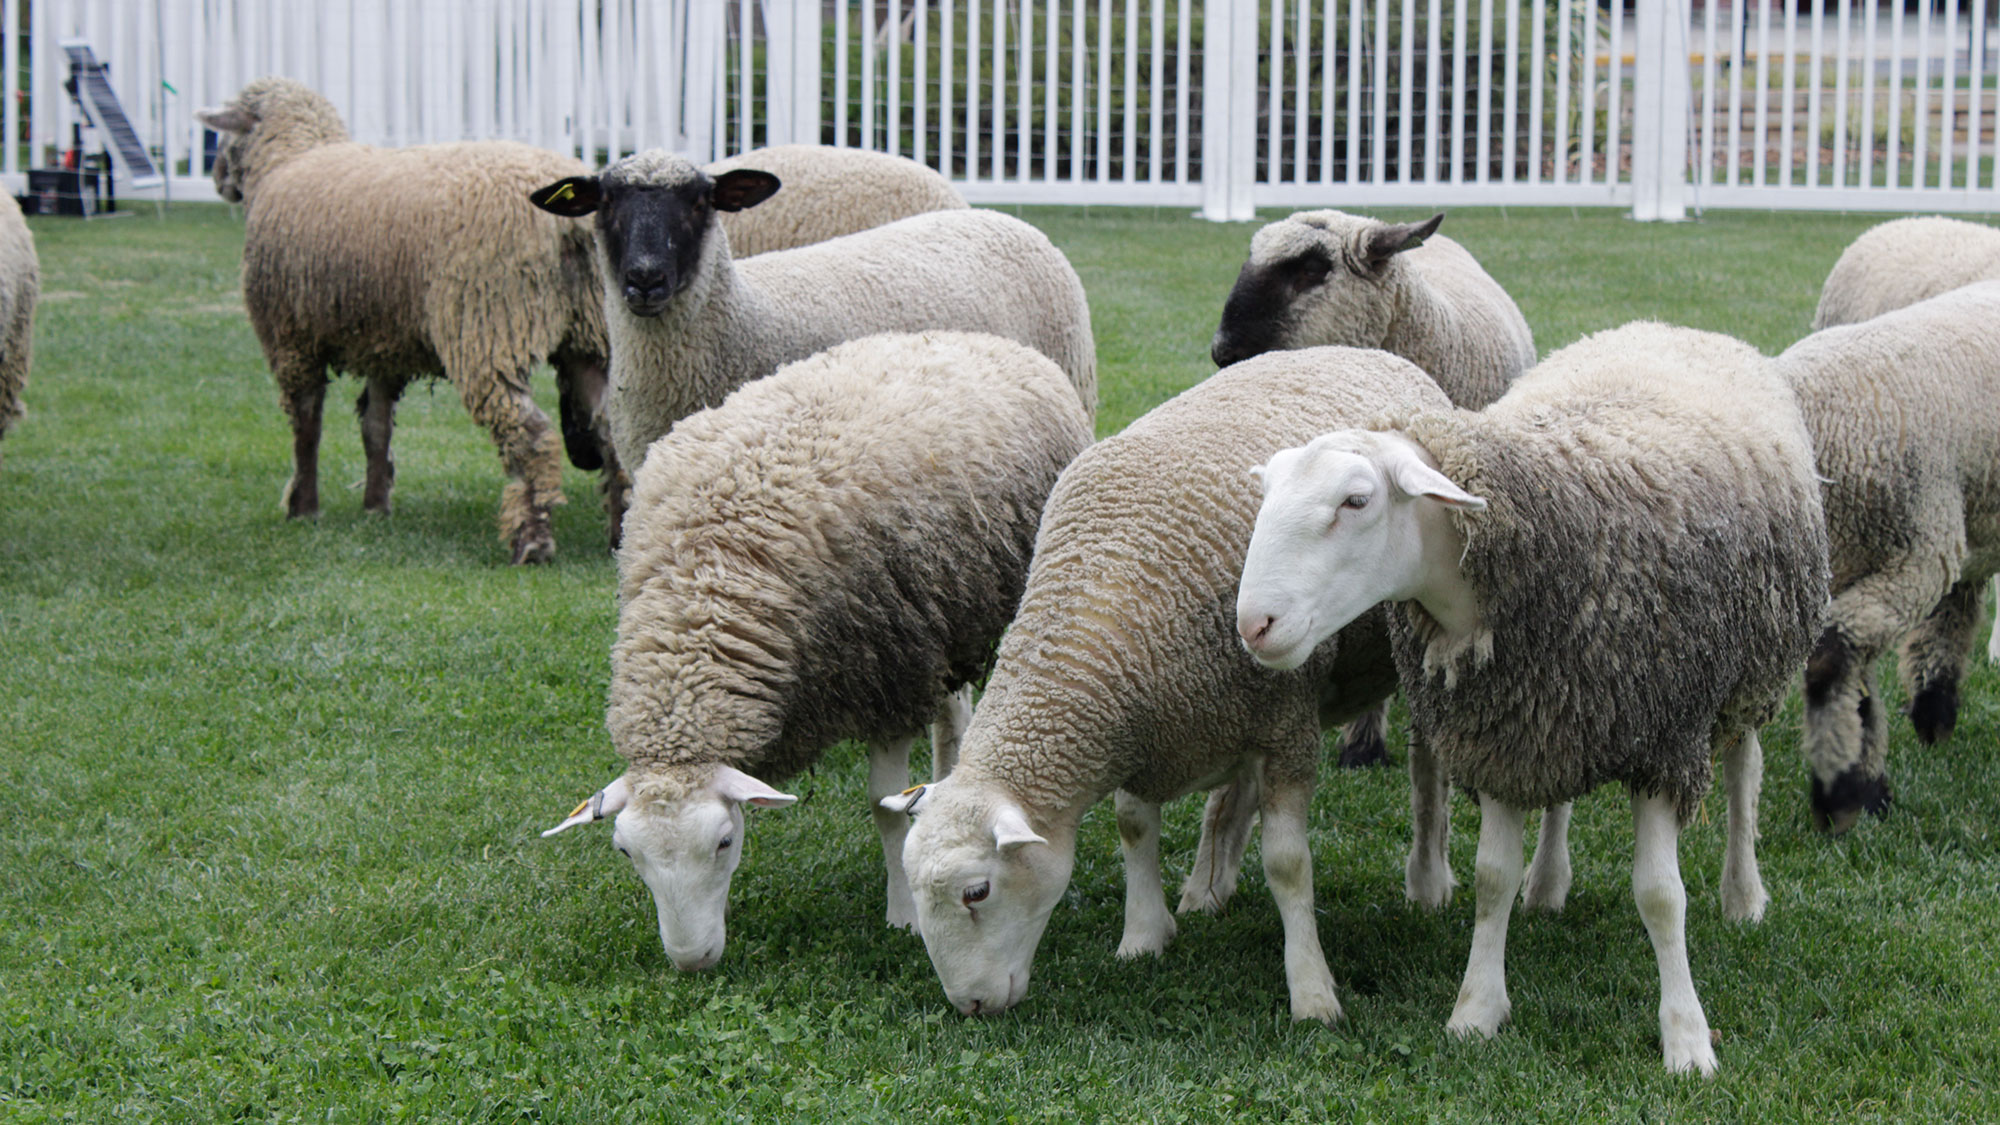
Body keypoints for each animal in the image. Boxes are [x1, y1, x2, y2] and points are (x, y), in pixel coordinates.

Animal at [196, 77, 614, 564]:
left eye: (227, 134)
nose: (218, 178)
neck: (288, 158)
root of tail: (572, 227)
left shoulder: (291, 338)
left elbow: (307, 426)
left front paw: (302, 507)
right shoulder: (384, 344)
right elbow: (376, 427)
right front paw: (376, 505)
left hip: (488, 326)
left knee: (531, 433)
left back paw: (532, 542)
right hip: (590, 332)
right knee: (610, 426)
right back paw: (619, 527)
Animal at [540, 331, 1094, 970]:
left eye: (724, 842)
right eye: (627, 854)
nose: (692, 959)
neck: (707, 585)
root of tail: (966, 335)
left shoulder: (887, 672)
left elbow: (882, 805)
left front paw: (903, 916)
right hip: (948, 616)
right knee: (952, 709)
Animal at [881, 346, 1453, 1025]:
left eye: (977, 891)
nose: (969, 1005)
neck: (1103, 595)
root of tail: (1365, 350)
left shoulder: (1286, 725)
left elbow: (1287, 865)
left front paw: (1312, 992)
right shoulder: (1144, 730)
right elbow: (1134, 828)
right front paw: (1143, 935)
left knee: (1426, 771)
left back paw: (1429, 881)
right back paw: (1209, 884)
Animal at [1236, 322, 1829, 1074]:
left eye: (1357, 500)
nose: (1254, 624)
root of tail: (1665, 326)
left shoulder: (1664, 741)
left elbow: (1661, 896)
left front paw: (1687, 1039)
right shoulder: (1502, 733)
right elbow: (1491, 876)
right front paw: (1476, 1009)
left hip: (1750, 672)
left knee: (1742, 775)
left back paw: (1743, 893)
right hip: (1562, 718)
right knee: (1561, 799)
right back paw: (1547, 885)